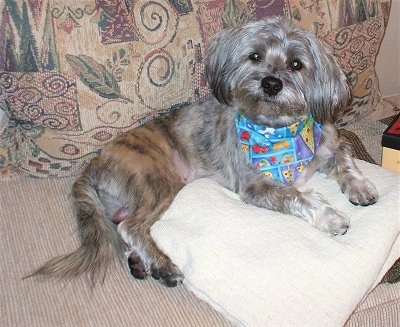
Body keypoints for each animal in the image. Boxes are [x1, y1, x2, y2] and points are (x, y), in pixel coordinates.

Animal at [32, 16, 378, 288]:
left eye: (296, 64)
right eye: (255, 56)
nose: (270, 83)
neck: (281, 131)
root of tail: (95, 162)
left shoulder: (330, 144)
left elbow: (345, 157)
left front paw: (361, 188)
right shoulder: (255, 188)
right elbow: (297, 196)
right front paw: (330, 217)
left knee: (125, 228)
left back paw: (140, 263)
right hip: (158, 181)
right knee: (130, 227)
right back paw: (163, 266)